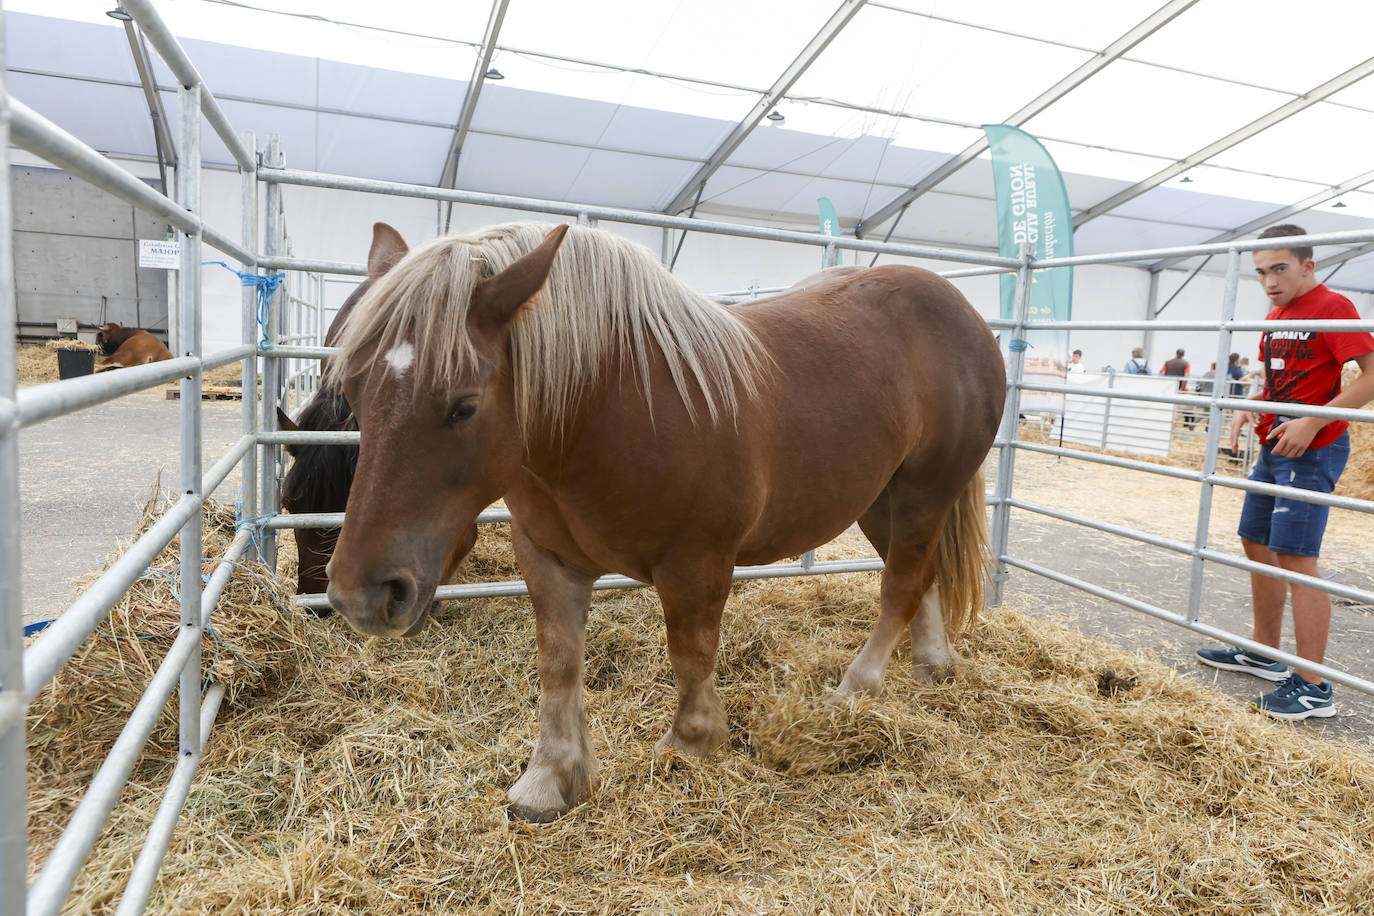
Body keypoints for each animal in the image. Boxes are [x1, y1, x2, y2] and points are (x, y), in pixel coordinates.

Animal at [324, 223, 1011, 823]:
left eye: (463, 406)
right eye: (353, 395)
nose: (361, 595)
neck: (613, 406)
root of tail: (962, 310)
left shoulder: (696, 561)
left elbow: (690, 651)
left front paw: (692, 744)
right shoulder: (547, 558)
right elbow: (558, 662)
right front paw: (550, 779)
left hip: (925, 489)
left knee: (900, 584)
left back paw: (853, 693)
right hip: (878, 497)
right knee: (919, 574)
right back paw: (931, 667)